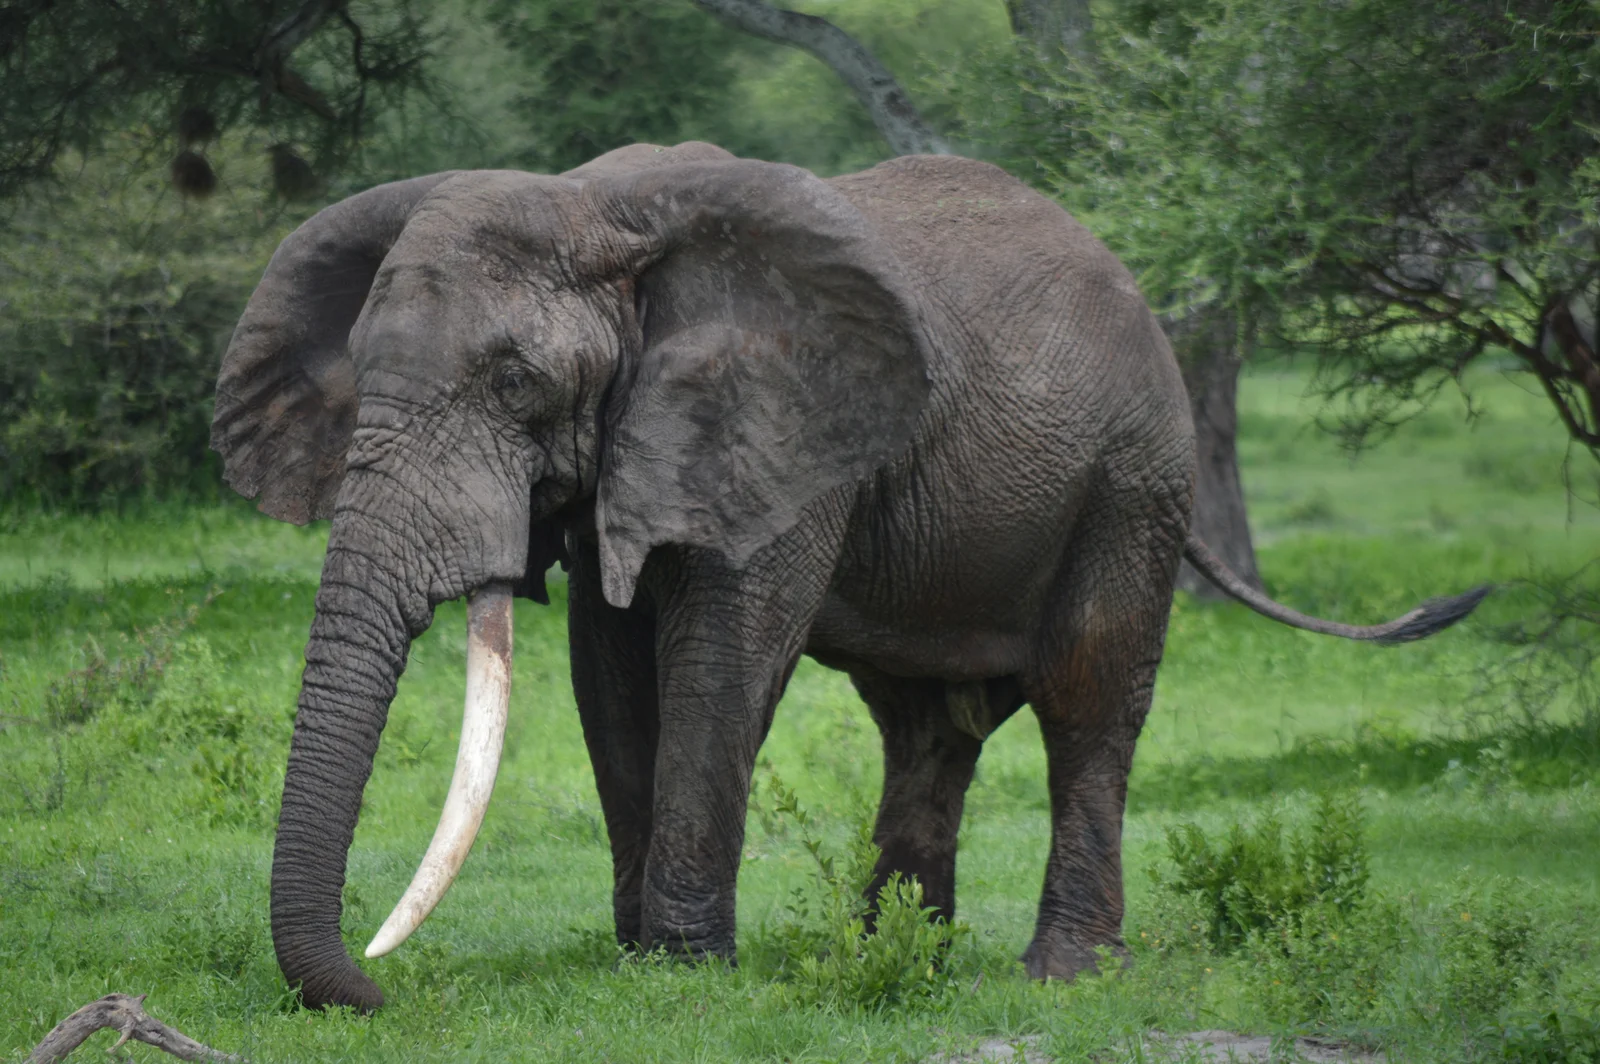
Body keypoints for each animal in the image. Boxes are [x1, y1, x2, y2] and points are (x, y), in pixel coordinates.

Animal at [211, 141, 1488, 1012]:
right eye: (359, 372)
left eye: (516, 383)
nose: (377, 983)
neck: (598, 203)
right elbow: (609, 673)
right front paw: (637, 957)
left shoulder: (779, 430)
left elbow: (720, 656)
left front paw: (683, 973)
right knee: (926, 725)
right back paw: (898, 960)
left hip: (1133, 480)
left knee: (1086, 699)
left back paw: (1061, 976)